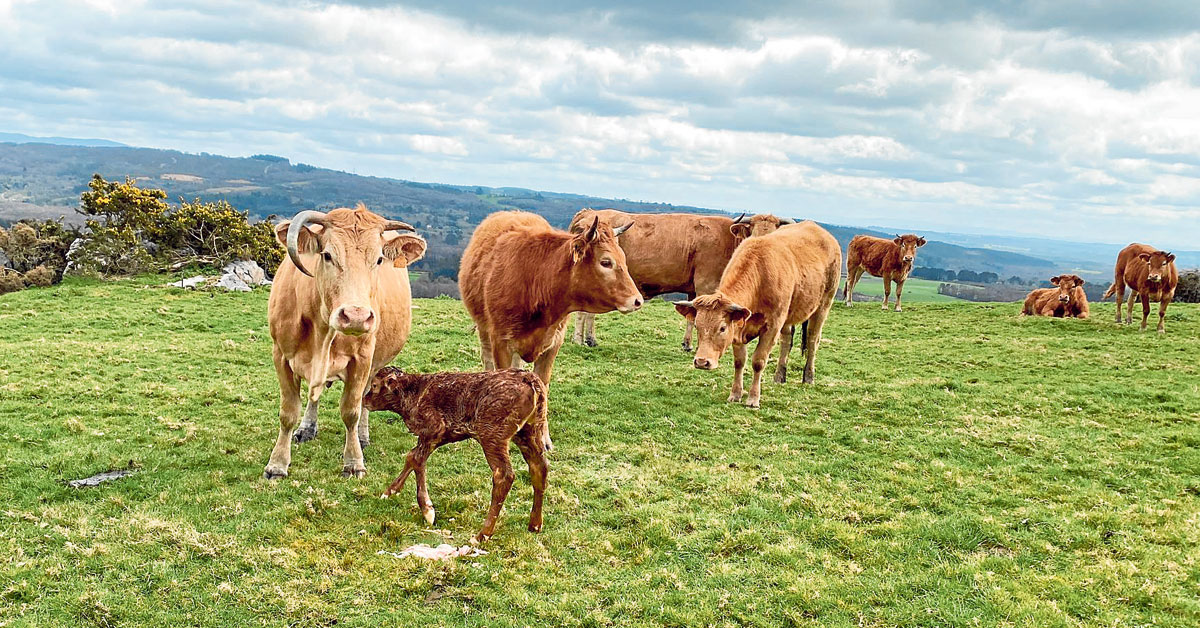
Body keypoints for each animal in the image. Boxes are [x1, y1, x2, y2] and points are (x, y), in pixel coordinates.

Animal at [262, 204, 427, 480]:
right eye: (327, 255)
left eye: (379, 259)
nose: (356, 316)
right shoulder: (281, 355)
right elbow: (288, 413)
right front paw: (277, 464)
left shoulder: (362, 359)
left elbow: (351, 411)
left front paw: (353, 461)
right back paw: (308, 428)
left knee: (364, 399)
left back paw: (362, 437)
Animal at [364, 365, 552, 542]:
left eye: (374, 385)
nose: (365, 400)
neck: (415, 393)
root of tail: (528, 378)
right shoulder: (442, 435)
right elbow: (412, 457)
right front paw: (389, 492)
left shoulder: (433, 429)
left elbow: (417, 459)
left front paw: (427, 510)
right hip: (528, 431)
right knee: (539, 466)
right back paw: (535, 525)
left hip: (492, 435)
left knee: (504, 475)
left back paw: (482, 535)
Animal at [460, 211, 648, 386]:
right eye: (606, 262)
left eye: (623, 258)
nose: (637, 300)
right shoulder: (501, 343)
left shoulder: (552, 345)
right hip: (484, 330)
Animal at [566, 208, 792, 350]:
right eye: (753, 233)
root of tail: (588, 213)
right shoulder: (707, 284)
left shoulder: (695, 289)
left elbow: (692, 316)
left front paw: (687, 344)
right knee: (583, 313)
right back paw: (581, 340)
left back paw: (589, 339)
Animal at [672, 223, 840, 410]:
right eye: (697, 326)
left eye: (722, 328)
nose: (702, 362)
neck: (760, 276)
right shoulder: (739, 328)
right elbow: (739, 361)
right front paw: (735, 394)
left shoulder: (772, 326)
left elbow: (758, 362)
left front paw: (753, 398)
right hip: (788, 318)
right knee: (786, 341)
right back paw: (779, 375)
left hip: (823, 306)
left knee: (812, 339)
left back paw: (808, 376)